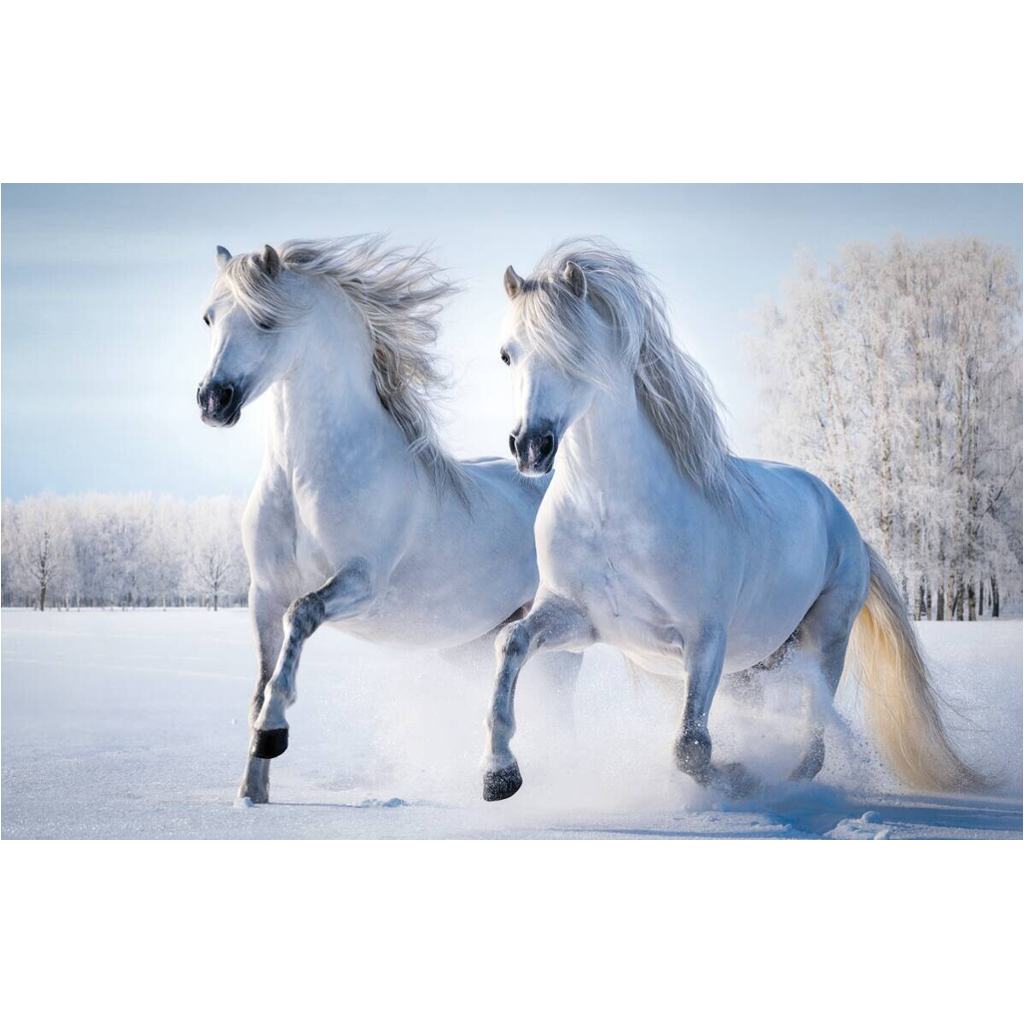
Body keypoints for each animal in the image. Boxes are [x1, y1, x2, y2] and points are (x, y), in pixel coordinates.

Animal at [196, 236, 580, 805]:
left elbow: (301, 617)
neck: (303, 477)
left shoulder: (361, 582)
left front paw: (273, 734)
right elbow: (260, 684)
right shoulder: (262, 594)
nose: (212, 401)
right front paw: (252, 793)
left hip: (559, 641)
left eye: (266, 321)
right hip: (470, 644)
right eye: (209, 318)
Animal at [481, 237, 978, 802]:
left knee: (814, 733)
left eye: (575, 350)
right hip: (756, 664)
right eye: (507, 354)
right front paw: (499, 774)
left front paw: (738, 778)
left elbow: (691, 747)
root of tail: (843, 518)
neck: (609, 514)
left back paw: (786, 782)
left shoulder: (705, 639)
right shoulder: (578, 619)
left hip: (825, 638)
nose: (531, 447)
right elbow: (510, 641)